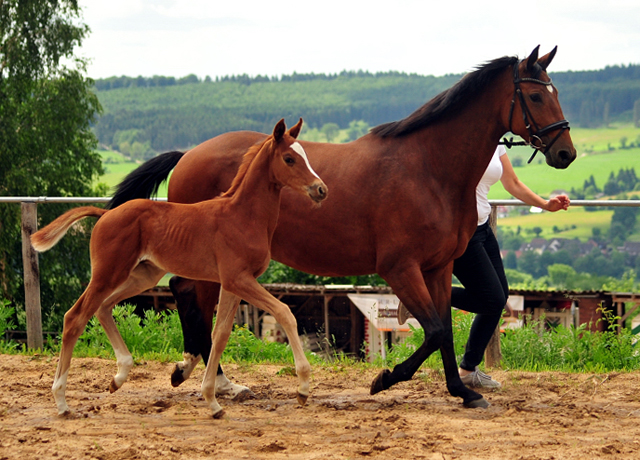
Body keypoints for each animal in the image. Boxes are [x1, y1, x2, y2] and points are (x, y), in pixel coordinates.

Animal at [32, 119, 328, 416]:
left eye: (305, 155)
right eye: (289, 158)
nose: (321, 189)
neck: (242, 216)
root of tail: (105, 214)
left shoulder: (233, 283)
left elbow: (220, 334)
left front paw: (212, 400)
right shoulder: (239, 279)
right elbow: (284, 312)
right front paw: (303, 388)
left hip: (143, 276)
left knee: (103, 307)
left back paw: (119, 376)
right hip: (107, 273)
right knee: (75, 317)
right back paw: (61, 402)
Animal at [107, 45, 576, 406]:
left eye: (556, 92)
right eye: (536, 97)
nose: (566, 153)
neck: (428, 168)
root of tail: (189, 154)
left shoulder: (439, 268)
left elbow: (442, 328)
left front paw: (462, 391)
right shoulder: (399, 268)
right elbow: (436, 329)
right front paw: (385, 378)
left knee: (189, 297)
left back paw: (204, 374)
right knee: (191, 298)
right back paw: (209, 377)